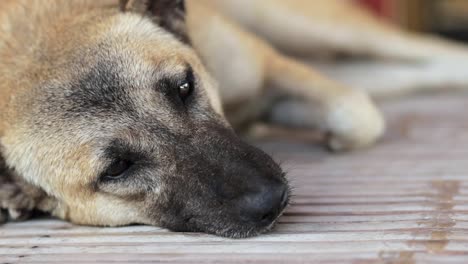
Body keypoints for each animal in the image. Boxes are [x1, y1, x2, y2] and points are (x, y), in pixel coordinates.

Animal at [0, 0, 466, 238]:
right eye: (116, 168)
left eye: (184, 86)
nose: (272, 201)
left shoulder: (267, 68)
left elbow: (354, 111)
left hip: (297, 21)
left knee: (432, 52)